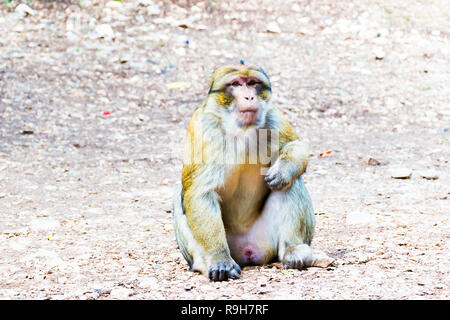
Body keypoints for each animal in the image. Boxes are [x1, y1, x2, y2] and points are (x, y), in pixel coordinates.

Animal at [172, 62, 326, 280]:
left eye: (252, 83)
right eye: (236, 84)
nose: (249, 97)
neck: (241, 130)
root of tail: (248, 251)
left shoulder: (272, 114)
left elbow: (295, 145)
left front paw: (283, 171)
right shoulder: (203, 126)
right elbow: (200, 192)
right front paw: (219, 258)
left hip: (266, 241)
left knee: (291, 182)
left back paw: (293, 250)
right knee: (180, 195)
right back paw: (205, 261)